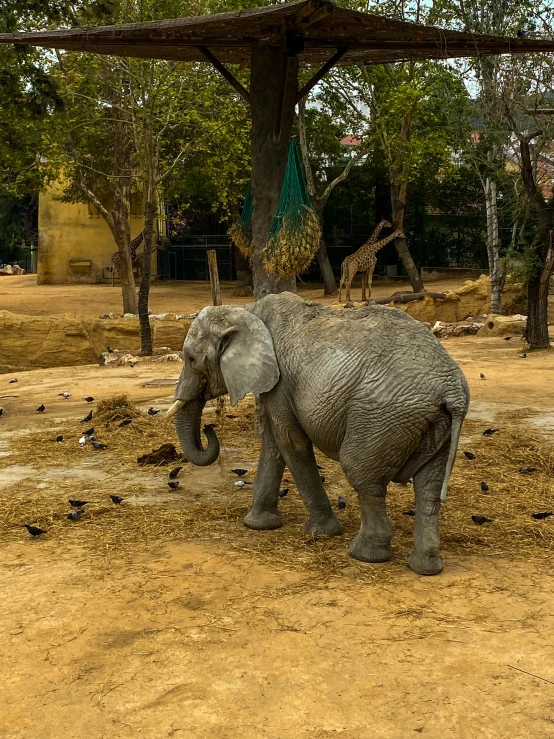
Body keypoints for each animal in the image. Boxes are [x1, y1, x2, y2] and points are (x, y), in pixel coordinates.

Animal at [166, 292, 468, 576]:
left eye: (191, 359)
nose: (209, 428)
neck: (247, 310)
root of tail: (452, 390)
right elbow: (274, 443)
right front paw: (258, 525)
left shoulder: (280, 380)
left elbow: (290, 442)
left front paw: (321, 532)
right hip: (434, 426)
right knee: (429, 486)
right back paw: (425, 567)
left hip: (382, 416)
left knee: (363, 475)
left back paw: (364, 554)